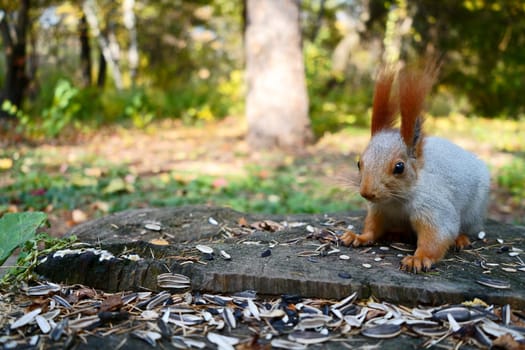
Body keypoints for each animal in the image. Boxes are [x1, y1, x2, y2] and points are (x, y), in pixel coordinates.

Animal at [342, 60, 490, 274]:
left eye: (399, 167)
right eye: (359, 163)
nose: (367, 193)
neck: (396, 200)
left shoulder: (433, 207)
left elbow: (437, 234)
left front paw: (418, 259)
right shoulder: (379, 210)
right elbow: (372, 227)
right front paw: (357, 237)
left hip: (474, 211)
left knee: (468, 228)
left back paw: (461, 239)